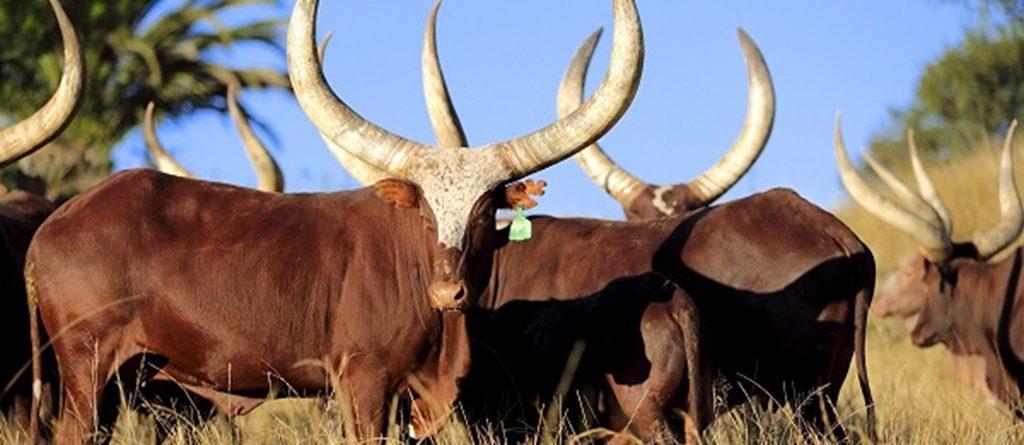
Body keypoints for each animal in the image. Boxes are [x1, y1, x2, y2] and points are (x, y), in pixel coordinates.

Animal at [25, 0, 644, 443]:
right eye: (424, 211)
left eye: (487, 208)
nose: (448, 292)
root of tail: (54, 223)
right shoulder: (364, 383)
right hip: (86, 372)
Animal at [326, 6, 876, 441]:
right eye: (424, 211)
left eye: (482, 211)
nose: (447, 292)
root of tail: (837, 233)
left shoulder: (510, 418)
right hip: (819, 396)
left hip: (797, 398)